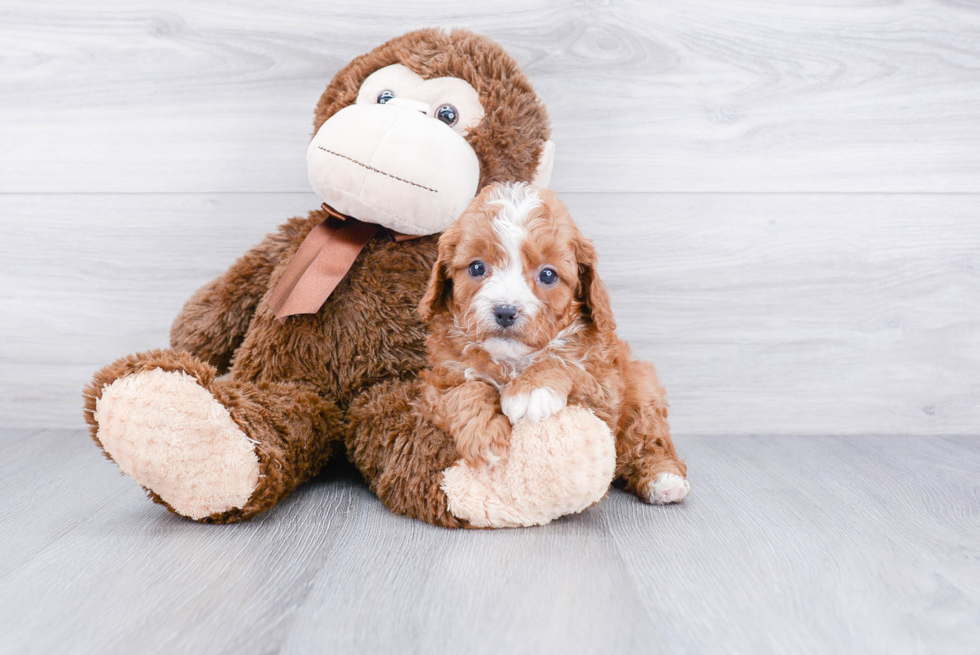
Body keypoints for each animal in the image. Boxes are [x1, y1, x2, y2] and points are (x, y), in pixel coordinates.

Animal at [420, 182, 688, 504]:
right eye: (476, 268)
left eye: (548, 274)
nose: (505, 311)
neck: (513, 360)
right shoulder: (440, 379)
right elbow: (465, 388)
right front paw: (483, 436)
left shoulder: (603, 391)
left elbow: (560, 362)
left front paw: (529, 391)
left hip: (643, 386)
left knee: (648, 438)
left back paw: (665, 479)